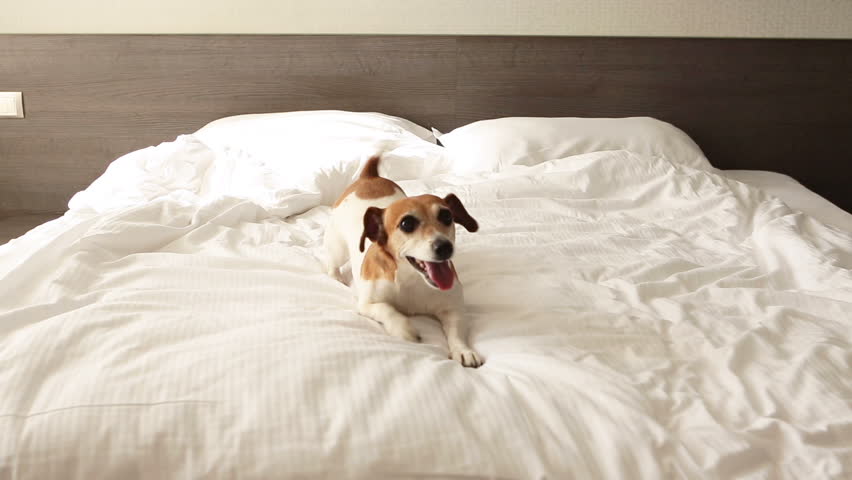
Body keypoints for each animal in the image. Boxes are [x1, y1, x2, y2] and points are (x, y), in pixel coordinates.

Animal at [322, 154, 482, 368]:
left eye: (447, 216)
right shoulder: (367, 305)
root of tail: (369, 177)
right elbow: (387, 309)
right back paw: (336, 276)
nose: (445, 247)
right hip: (338, 248)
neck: (411, 278)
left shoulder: (453, 308)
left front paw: (463, 350)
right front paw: (404, 328)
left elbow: (456, 331)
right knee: (333, 261)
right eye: (407, 224)